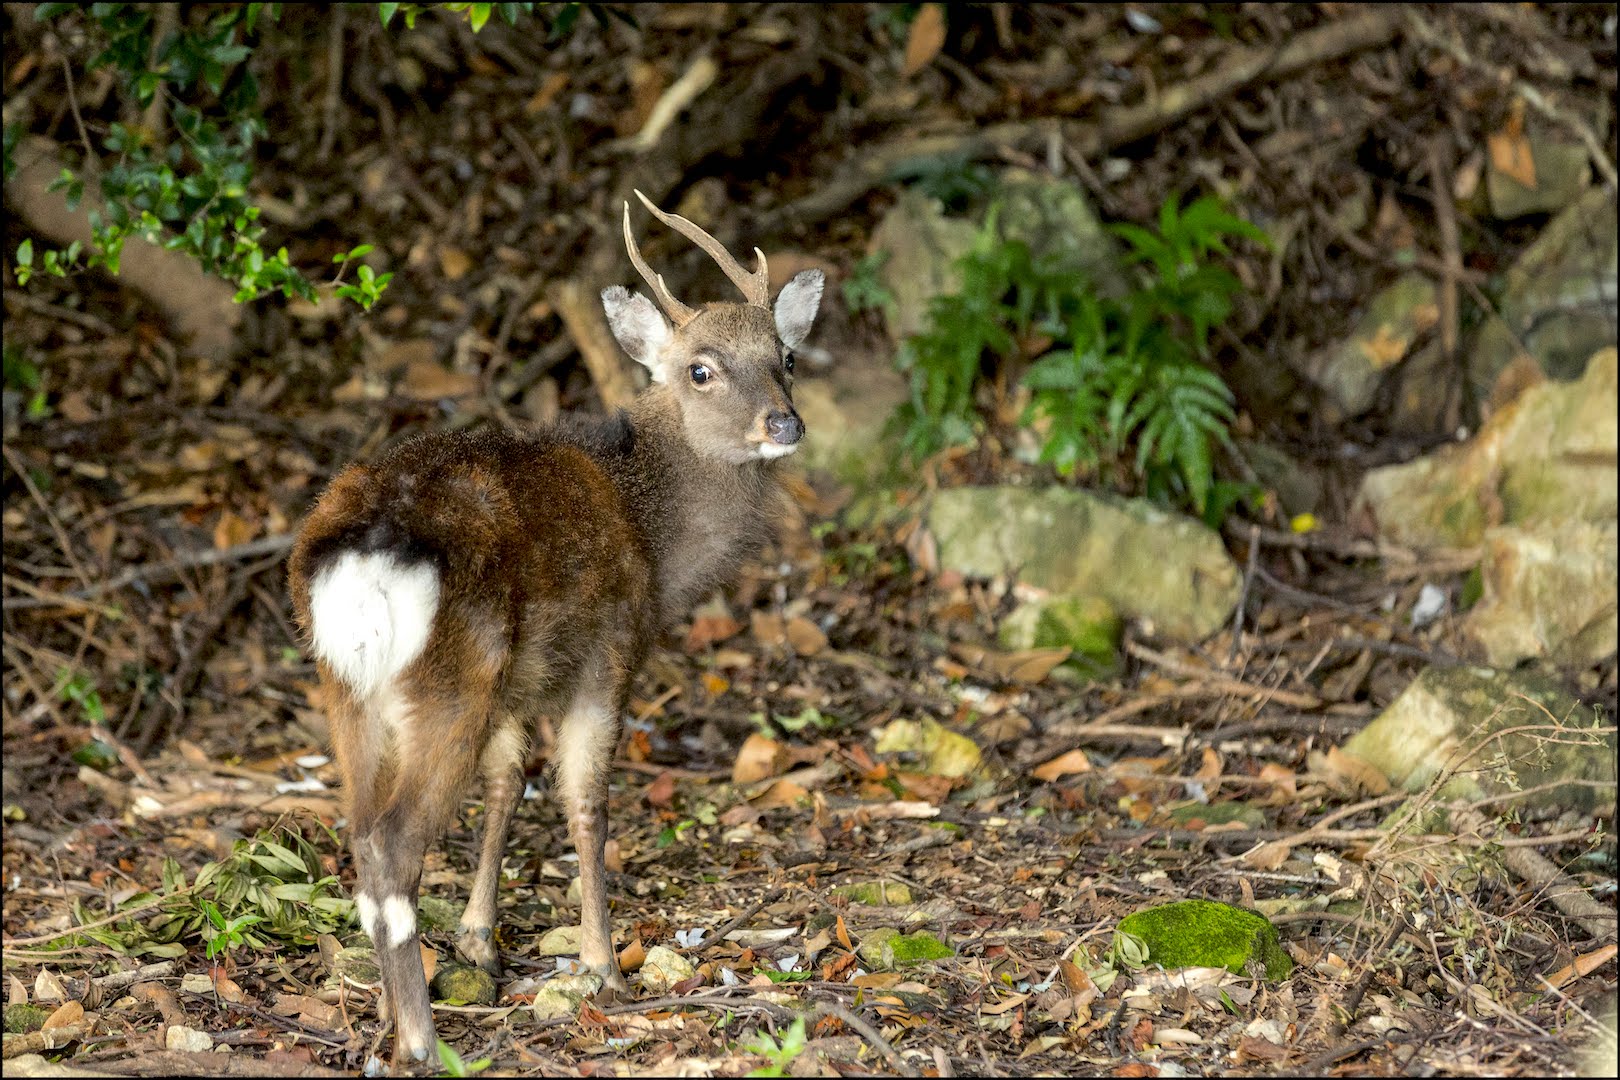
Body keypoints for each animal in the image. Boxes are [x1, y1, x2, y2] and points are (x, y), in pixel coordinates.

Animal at [286, 191, 822, 1062]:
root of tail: (368, 554)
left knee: (361, 834)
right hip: (452, 677)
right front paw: (602, 964)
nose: (784, 424)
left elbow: (510, 782)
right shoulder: (610, 649)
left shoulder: (518, 688)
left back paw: (389, 1025)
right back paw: (423, 1041)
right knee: (392, 845)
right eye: (700, 369)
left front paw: (479, 937)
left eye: (787, 356)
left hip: (348, 686)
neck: (655, 536)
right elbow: (584, 799)